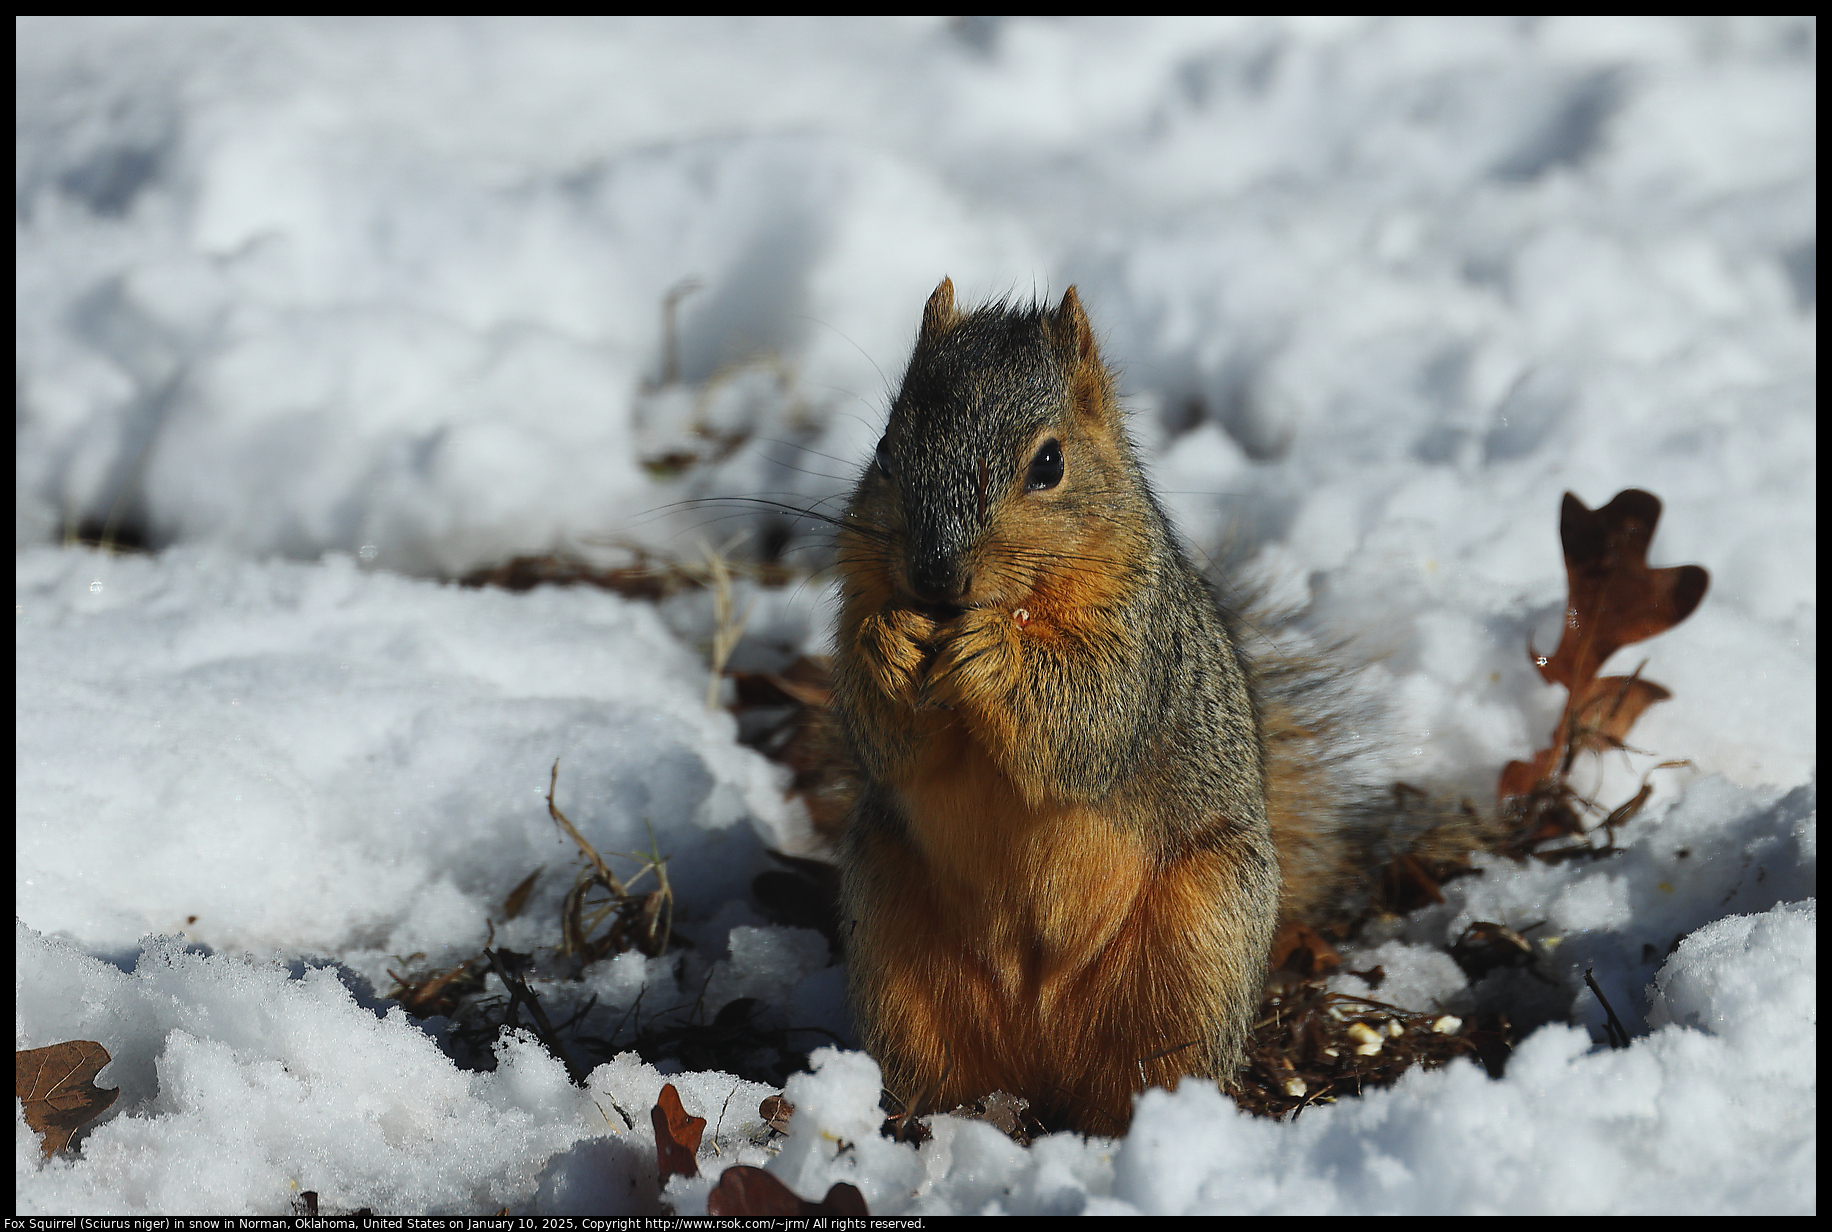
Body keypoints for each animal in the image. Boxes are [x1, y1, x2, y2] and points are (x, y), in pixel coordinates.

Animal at [831, 278, 1399, 1136]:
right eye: (886, 453)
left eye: (1050, 463)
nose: (934, 577)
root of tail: (1038, 1049)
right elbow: (887, 743)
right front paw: (889, 644)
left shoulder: (1141, 641)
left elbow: (1092, 719)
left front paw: (992, 654)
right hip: (889, 934)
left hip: (1198, 943)